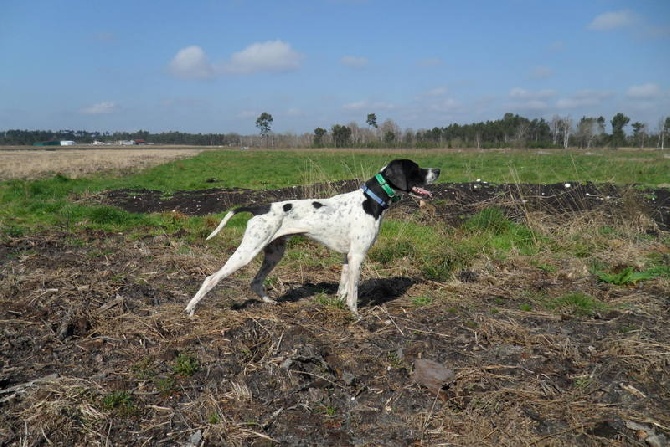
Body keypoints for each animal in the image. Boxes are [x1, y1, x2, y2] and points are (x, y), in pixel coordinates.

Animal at [188, 159, 440, 316]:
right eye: (416, 168)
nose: (438, 170)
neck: (370, 200)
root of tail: (258, 207)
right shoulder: (357, 256)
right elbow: (353, 292)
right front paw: (355, 315)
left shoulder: (348, 258)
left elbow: (342, 288)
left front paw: (337, 306)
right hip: (247, 252)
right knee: (211, 278)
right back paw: (191, 308)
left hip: (274, 254)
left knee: (256, 282)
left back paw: (270, 302)